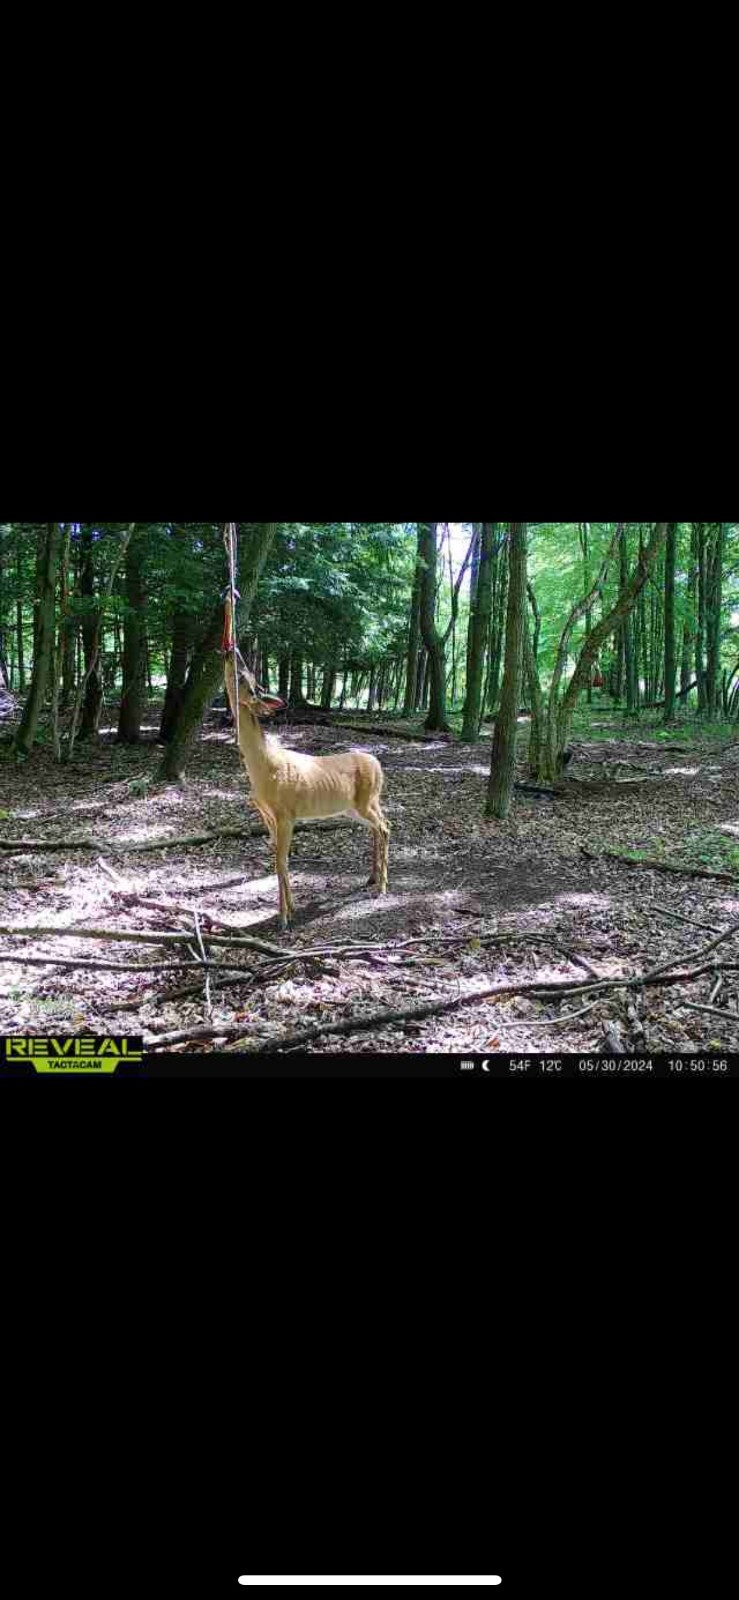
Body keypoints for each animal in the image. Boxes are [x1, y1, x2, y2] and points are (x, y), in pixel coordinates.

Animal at [224, 651, 390, 930]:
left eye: (245, 679)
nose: (231, 651)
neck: (264, 766)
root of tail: (378, 765)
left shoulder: (286, 814)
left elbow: (280, 862)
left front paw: (283, 919)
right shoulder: (268, 816)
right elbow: (282, 861)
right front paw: (291, 909)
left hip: (366, 800)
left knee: (385, 827)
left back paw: (382, 887)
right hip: (354, 807)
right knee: (378, 827)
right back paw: (371, 878)